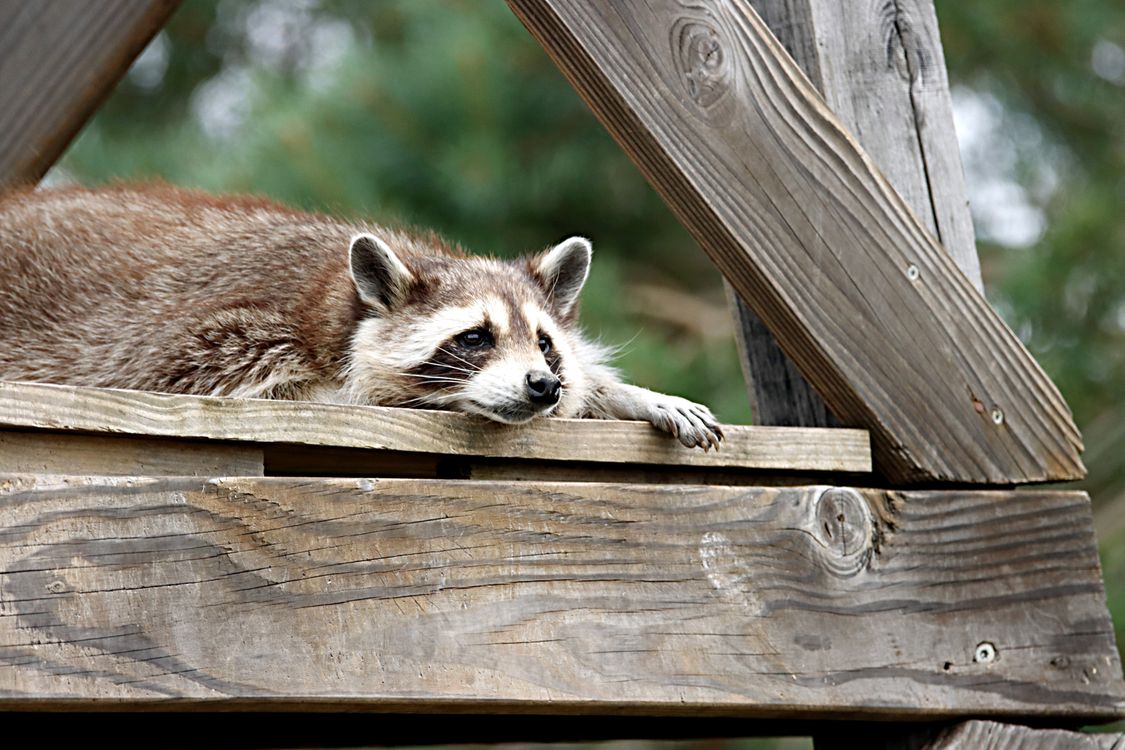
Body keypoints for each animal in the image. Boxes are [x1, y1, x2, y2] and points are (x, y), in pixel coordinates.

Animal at [0, 185, 722, 449]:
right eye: (474, 337)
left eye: (545, 346)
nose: (542, 386)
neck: (340, 303)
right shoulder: (223, 336)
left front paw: (624, 393)